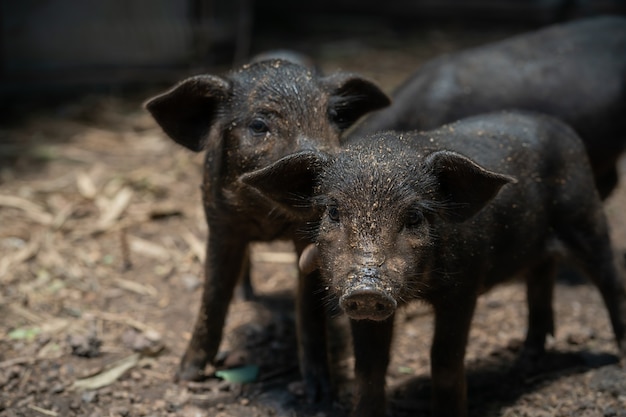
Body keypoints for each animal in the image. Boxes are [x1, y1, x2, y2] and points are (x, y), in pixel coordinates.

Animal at [146, 56, 390, 400]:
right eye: (259, 125)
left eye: (332, 118)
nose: (324, 166)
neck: (266, 218)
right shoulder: (220, 224)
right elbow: (213, 295)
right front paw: (184, 377)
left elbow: (308, 311)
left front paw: (318, 394)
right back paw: (246, 296)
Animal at [241, 110, 624, 416]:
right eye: (333, 211)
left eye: (413, 216)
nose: (367, 288)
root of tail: (562, 127)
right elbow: (369, 367)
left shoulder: (464, 288)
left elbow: (444, 360)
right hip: (539, 250)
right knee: (540, 281)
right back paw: (525, 360)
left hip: (586, 218)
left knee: (609, 280)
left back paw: (617, 358)